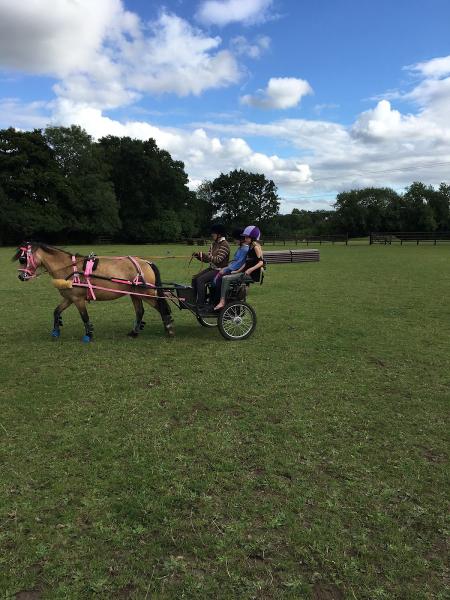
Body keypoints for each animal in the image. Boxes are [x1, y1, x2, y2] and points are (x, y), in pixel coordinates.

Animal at [12, 240, 174, 342]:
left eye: (23, 259)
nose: (21, 276)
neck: (69, 268)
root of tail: (146, 262)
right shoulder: (69, 298)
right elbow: (56, 312)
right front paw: (56, 331)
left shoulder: (78, 299)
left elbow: (84, 317)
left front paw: (88, 335)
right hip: (135, 294)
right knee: (140, 311)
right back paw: (134, 333)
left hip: (147, 293)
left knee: (162, 307)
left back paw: (169, 329)